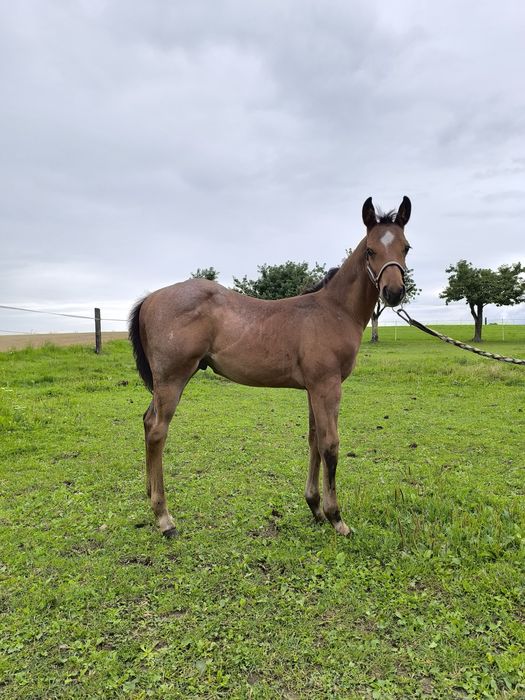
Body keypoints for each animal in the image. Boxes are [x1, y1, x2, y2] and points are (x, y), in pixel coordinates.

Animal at [129, 196, 412, 538]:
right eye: (370, 250)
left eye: (406, 247)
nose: (393, 292)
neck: (334, 310)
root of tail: (150, 299)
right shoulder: (328, 385)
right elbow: (331, 445)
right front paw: (336, 518)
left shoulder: (314, 388)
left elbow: (314, 440)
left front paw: (315, 507)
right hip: (172, 379)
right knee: (158, 431)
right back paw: (164, 517)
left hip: (164, 383)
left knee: (147, 422)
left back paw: (150, 495)